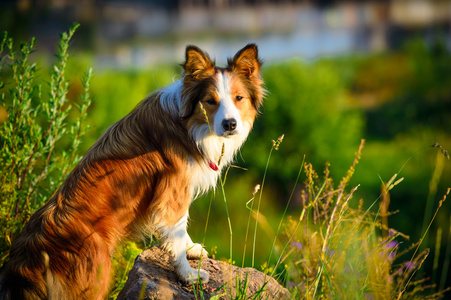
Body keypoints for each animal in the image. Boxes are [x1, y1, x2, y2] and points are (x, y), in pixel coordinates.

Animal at [0, 43, 264, 298]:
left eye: (239, 98)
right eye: (210, 101)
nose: (230, 124)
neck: (187, 125)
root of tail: (25, 264)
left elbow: (181, 230)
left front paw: (192, 249)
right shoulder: (171, 193)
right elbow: (176, 231)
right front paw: (189, 275)